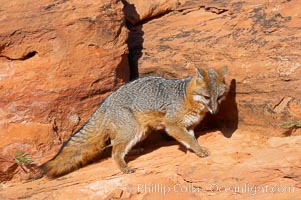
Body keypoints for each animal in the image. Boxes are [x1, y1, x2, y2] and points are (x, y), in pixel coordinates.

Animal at [41, 67, 226, 177]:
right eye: (207, 97)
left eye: (219, 97)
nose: (216, 111)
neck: (186, 98)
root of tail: (105, 102)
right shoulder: (172, 125)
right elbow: (188, 139)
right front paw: (199, 150)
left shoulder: (189, 126)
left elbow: (191, 138)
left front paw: (196, 148)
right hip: (132, 130)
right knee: (114, 151)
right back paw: (124, 167)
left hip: (142, 131)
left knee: (116, 144)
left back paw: (134, 151)